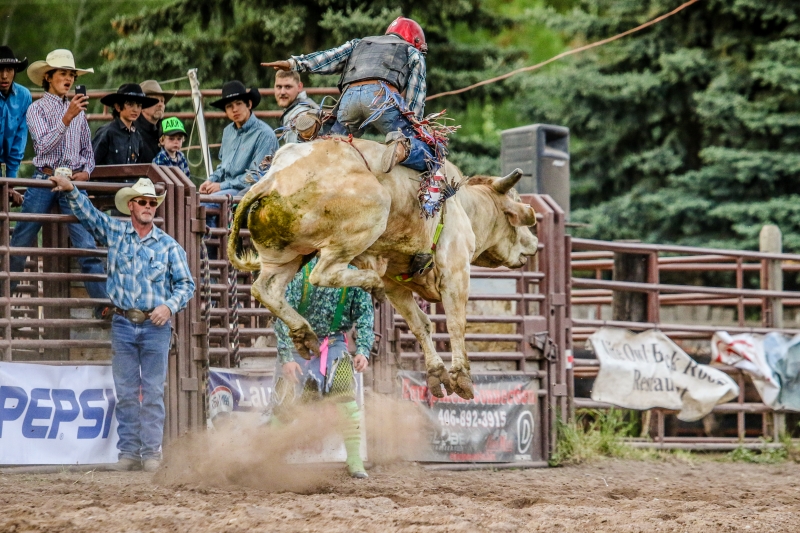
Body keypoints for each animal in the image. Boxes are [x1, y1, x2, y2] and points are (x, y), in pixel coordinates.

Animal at [225, 138, 536, 400]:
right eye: (517, 205)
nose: (533, 243)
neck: (461, 205)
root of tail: (272, 179)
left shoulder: (396, 285)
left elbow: (420, 324)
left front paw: (437, 375)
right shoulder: (455, 269)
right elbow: (455, 322)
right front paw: (461, 378)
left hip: (287, 255)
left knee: (267, 288)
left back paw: (304, 334)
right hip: (368, 218)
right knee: (323, 272)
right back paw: (368, 282)